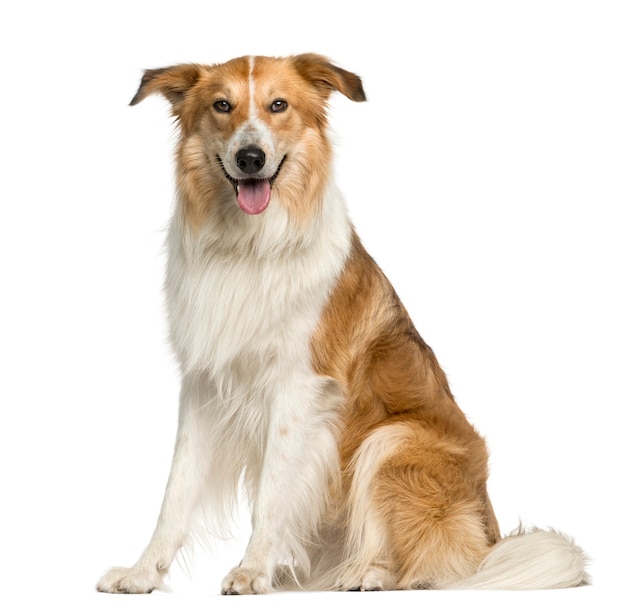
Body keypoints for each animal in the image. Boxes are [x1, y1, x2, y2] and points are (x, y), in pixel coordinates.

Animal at [95, 54, 588, 592]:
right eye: (222, 106)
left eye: (279, 105)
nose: (250, 158)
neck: (248, 247)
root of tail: (492, 534)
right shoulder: (203, 385)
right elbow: (175, 494)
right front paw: (142, 572)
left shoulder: (299, 389)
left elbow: (272, 495)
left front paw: (252, 572)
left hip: (394, 438)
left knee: (438, 564)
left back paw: (369, 574)